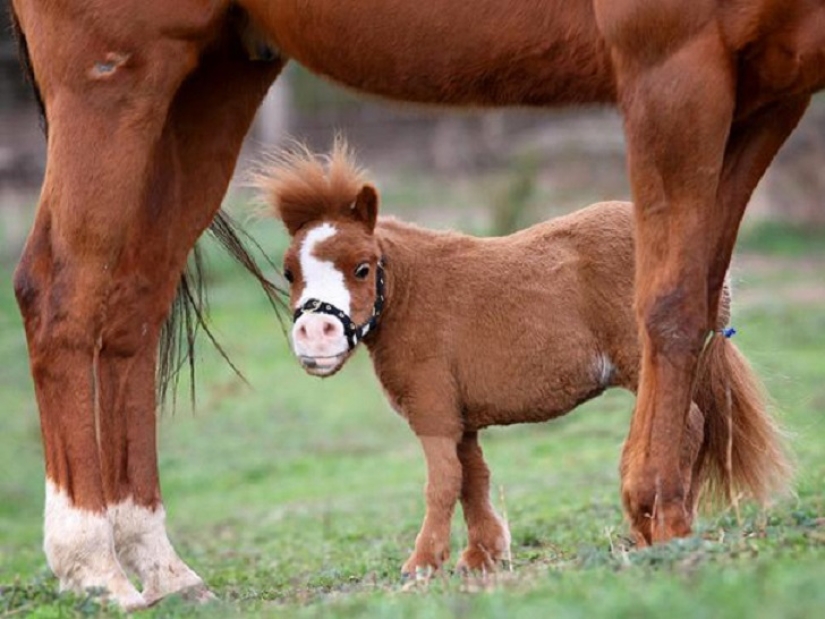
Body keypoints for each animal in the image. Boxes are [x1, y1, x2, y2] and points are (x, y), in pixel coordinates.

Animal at [260, 144, 788, 576]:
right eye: (288, 272)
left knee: (687, 427)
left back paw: (663, 527)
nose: (315, 337)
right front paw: (482, 556)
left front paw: (422, 564)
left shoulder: (434, 413)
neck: (412, 294)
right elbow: (472, 478)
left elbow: (443, 482)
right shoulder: (461, 418)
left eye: (363, 268)